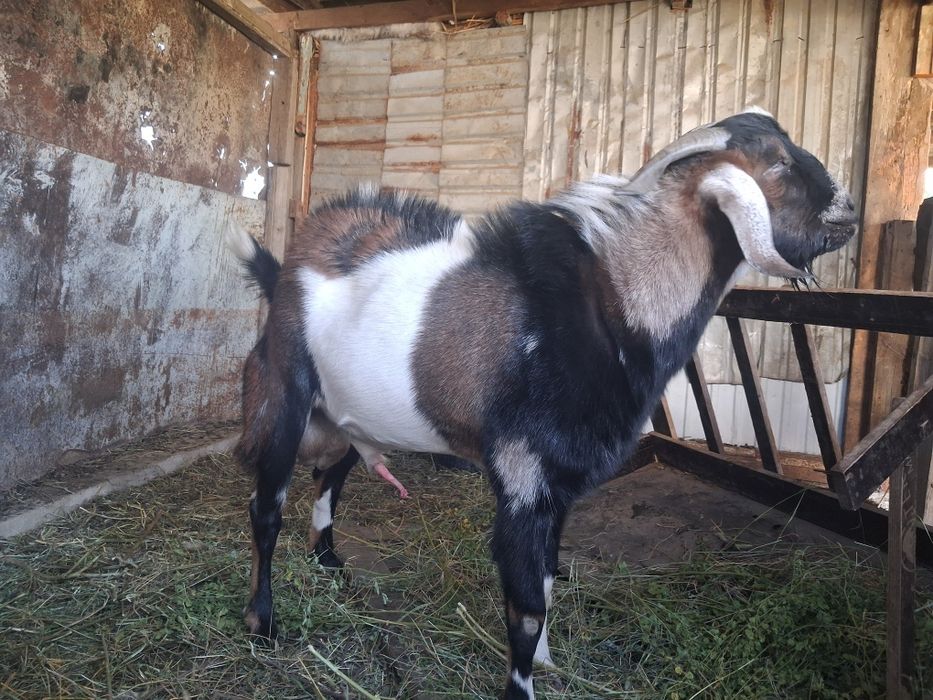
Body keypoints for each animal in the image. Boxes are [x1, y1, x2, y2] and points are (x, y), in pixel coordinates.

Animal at [228, 110, 856, 699]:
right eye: (777, 162)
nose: (847, 210)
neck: (608, 305)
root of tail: (288, 267)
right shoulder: (524, 476)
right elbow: (528, 606)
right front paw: (521, 687)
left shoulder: (559, 485)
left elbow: (551, 581)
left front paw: (551, 663)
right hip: (285, 398)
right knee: (266, 509)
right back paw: (262, 623)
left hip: (348, 419)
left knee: (328, 477)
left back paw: (327, 560)